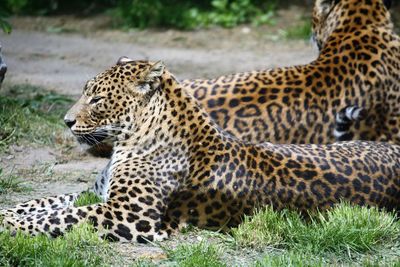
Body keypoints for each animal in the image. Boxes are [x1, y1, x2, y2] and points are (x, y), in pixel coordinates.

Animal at [2, 59, 400, 244]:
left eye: (97, 99)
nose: (66, 121)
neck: (129, 140)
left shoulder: (127, 215)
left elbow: (58, 218)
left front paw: (10, 227)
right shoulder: (96, 194)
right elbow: (41, 203)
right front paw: (8, 214)